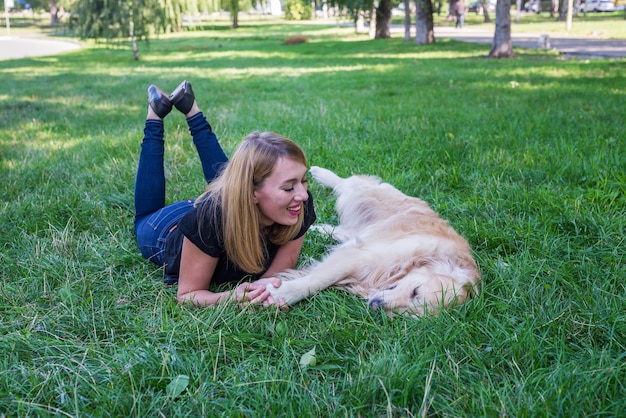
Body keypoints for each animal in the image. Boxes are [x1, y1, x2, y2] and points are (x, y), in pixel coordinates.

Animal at [266, 166, 480, 316]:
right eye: (416, 291)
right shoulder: (359, 255)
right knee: (348, 183)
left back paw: (317, 229)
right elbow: (316, 280)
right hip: (369, 195)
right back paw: (319, 172)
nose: (376, 306)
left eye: (407, 314)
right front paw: (281, 293)